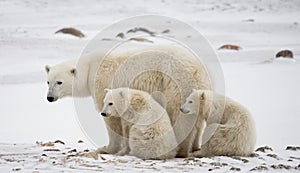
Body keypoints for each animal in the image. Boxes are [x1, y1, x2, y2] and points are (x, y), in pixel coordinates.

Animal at [45, 45, 212, 157]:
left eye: (59, 82)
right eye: (48, 82)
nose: (49, 98)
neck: (90, 70)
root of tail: (198, 69)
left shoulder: (104, 84)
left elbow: (112, 120)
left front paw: (107, 148)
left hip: (176, 83)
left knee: (179, 117)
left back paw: (179, 149)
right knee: (198, 120)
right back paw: (195, 146)